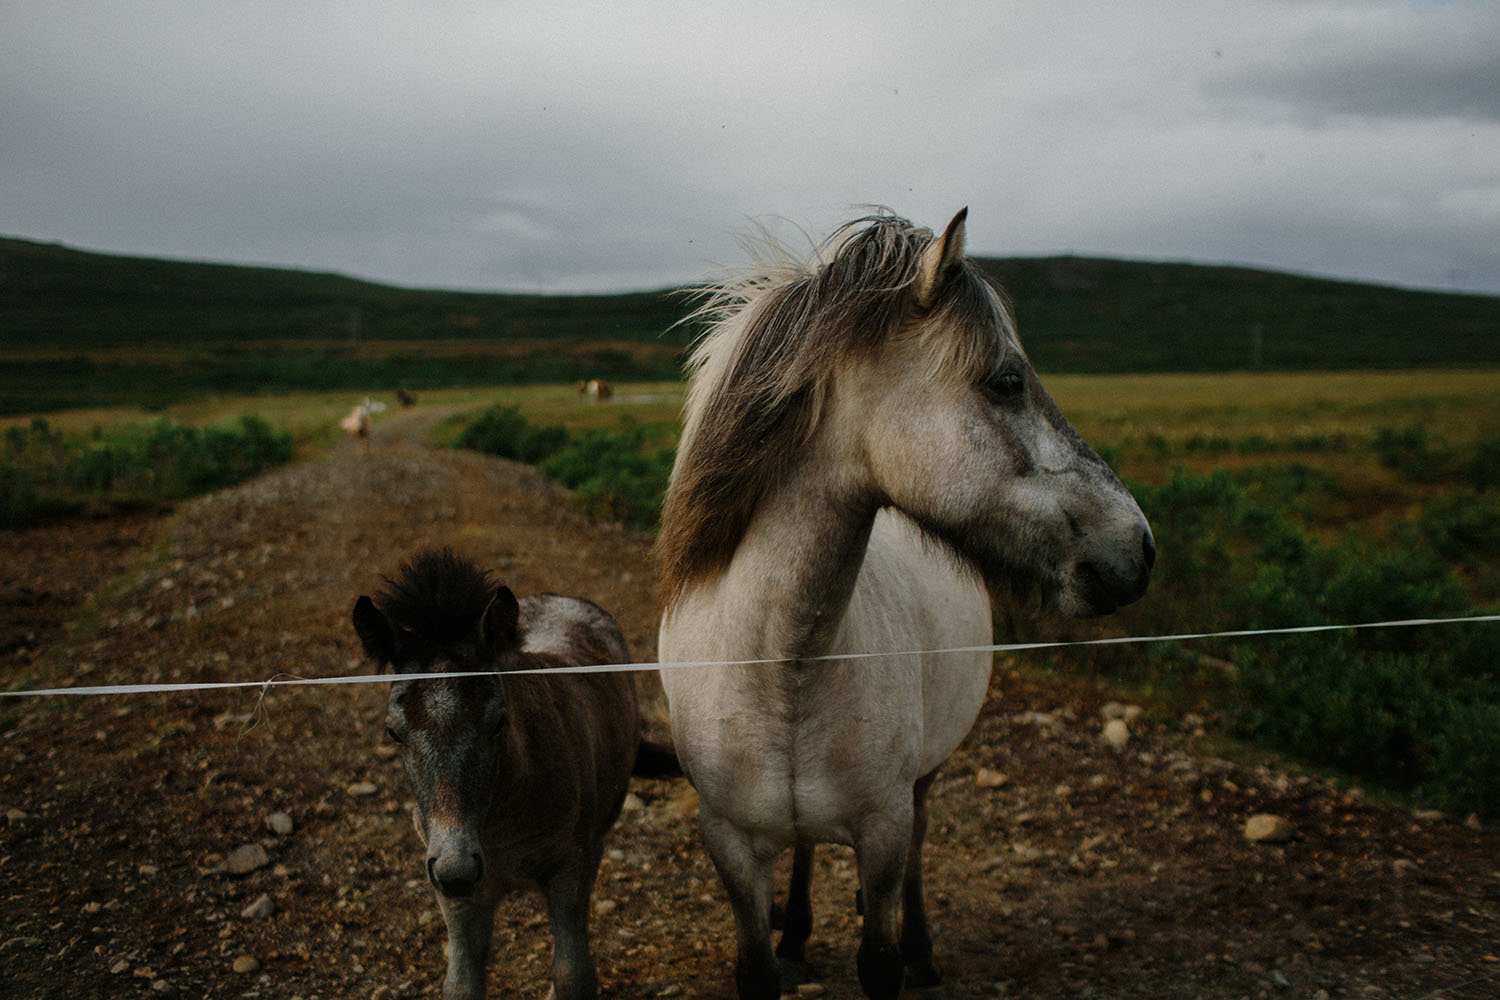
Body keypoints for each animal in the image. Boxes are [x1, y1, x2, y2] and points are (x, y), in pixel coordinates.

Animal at [355, 551, 639, 995]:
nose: (457, 870)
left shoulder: (570, 871)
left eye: (498, 721)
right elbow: (461, 985)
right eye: (393, 732)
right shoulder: (457, 895)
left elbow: (572, 975)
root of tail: (564, 599)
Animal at [651, 206, 1152, 995]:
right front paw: (786, 943)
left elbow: (880, 954)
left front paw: (900, 950)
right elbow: (759, 962)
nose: (1140, 545)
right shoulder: (728, 843)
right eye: (1007, 381)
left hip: (922, 782)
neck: (782, 666)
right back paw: (798, 932)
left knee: (918, 840)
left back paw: (921, 948)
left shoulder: (881, 832)